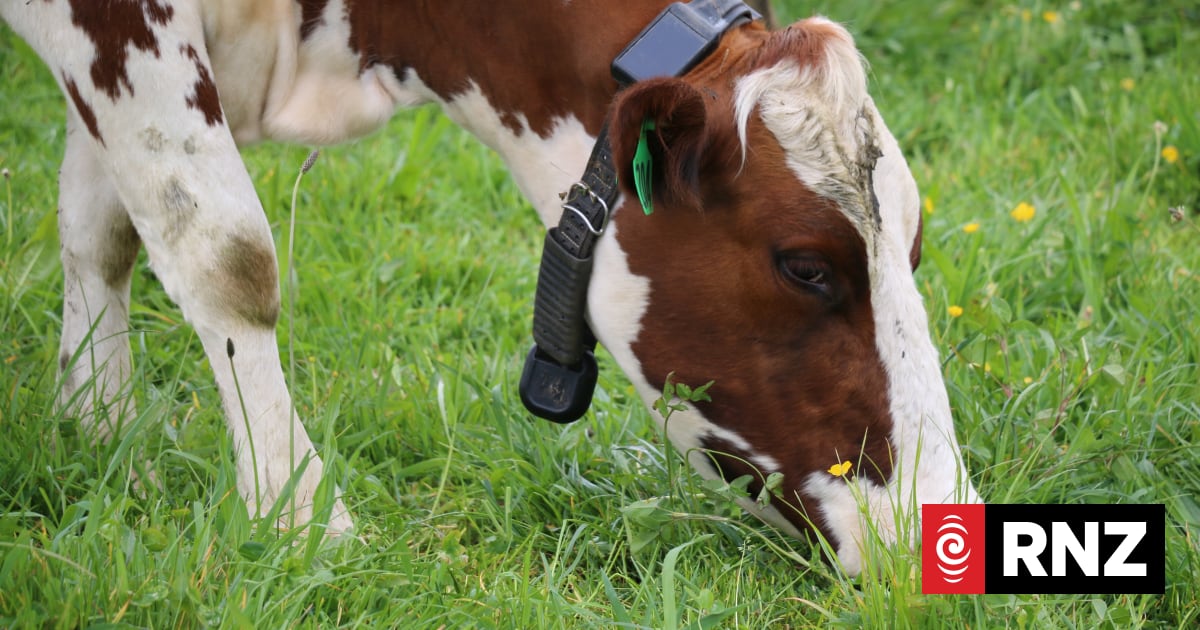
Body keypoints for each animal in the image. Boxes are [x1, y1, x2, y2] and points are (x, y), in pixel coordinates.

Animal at [0, 0, 981, 575]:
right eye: (805, 266)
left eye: (914, 248)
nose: (944, 530)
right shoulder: (118, 25)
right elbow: (226, 254)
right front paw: (301, 517)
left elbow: (101, 229)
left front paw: (98, 423)